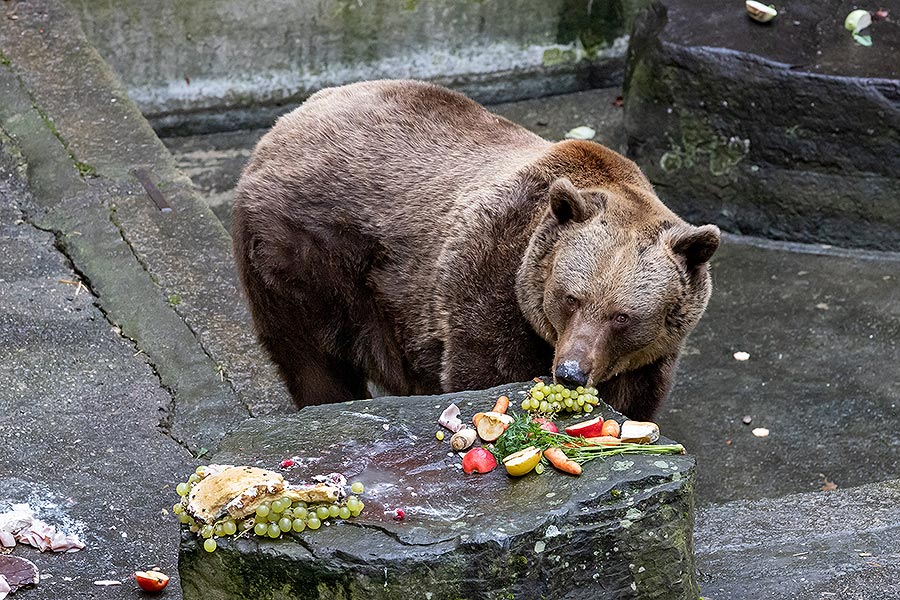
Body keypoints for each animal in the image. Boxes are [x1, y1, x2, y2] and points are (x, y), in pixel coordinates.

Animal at [232, 79, 716, 420]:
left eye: (623, 316)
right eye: (570, 298)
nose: (571, 372)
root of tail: (286, 122)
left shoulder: (647, 360)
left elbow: (636, 403)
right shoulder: (489, 285)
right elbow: (485, 375)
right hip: (303, 255)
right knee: (310, 355)